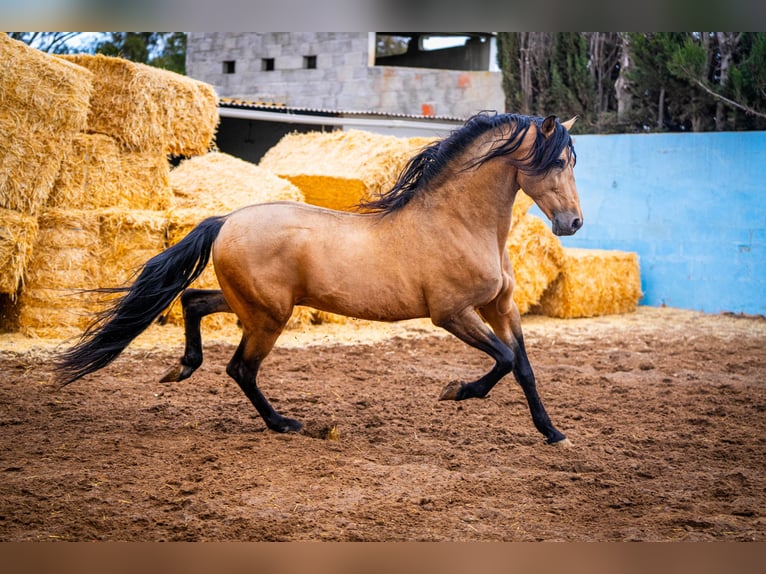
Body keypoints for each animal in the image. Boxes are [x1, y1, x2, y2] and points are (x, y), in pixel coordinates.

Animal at [55, 110, 584, 448]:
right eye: (558, 162)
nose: (573, 223)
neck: (460, 223)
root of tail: (226, 220)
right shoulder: (451, 314)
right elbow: (504, 360)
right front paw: (454, 391)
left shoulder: (500, 306)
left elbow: (523, 366)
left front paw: (553, 434)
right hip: (268, 316)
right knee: (240, 368)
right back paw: (285, 424)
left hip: (252, 305)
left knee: (195, 302)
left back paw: (182, 368)